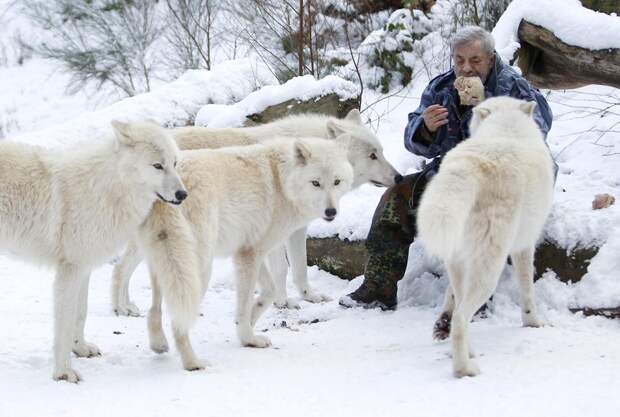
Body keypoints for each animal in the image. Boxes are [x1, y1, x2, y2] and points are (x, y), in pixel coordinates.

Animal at [0, 120, 186, 380]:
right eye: (158, 166)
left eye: (175, 163)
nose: (183, 194)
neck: (109, 189)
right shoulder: (69, 271)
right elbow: (65, 325)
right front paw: (63, 373)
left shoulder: (84, 268)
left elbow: (81, 314)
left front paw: (80, 349)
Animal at [111, 108, 402, 316]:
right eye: (372, 155)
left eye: (381, 151)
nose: (399, 177)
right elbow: (282, 269)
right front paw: (283, 302)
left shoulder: (295, 230)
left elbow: (299, 268)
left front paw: (308, 297)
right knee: (120, 268)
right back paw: (122, 308)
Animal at [137, 136, 354, 368]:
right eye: (315, 183)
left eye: (337, 182)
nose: (331, 212)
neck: (281, 181)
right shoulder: (249, 255)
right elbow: (246, 303)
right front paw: (248, 338)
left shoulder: (250, 251)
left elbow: (269, 292)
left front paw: (248, 321)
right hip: (198, 270)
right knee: (179, 321)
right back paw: (193, 363)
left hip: (165, 264)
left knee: (154, 310)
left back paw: (159, 344)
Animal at [418, 96, 556, 376]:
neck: (507, 128)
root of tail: (470, 166)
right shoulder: (524, 247)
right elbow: (527, 289)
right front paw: (533, 322)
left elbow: (449, 295)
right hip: (489, 269)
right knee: (462, 319)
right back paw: (465, 369)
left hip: (460, 261)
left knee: (459, 309)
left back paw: (465, 349)